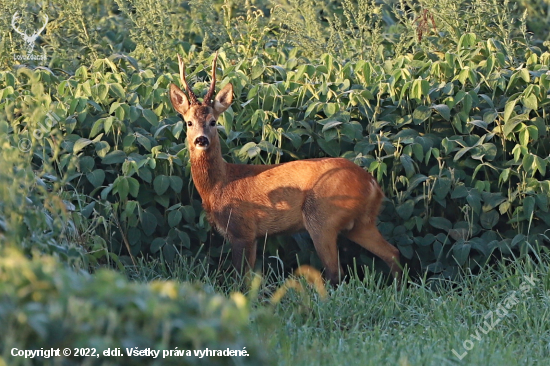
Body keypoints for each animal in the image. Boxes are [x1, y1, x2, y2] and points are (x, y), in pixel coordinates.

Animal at [167, 53, 402, 284]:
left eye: (213, 121)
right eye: (189, 122)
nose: (201, 140)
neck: (220, 185)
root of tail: (373, 185)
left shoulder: (243, 230)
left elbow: (241, 277)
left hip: (323, 218)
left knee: (336, 272)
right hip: (361, 223)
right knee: (392, 253)